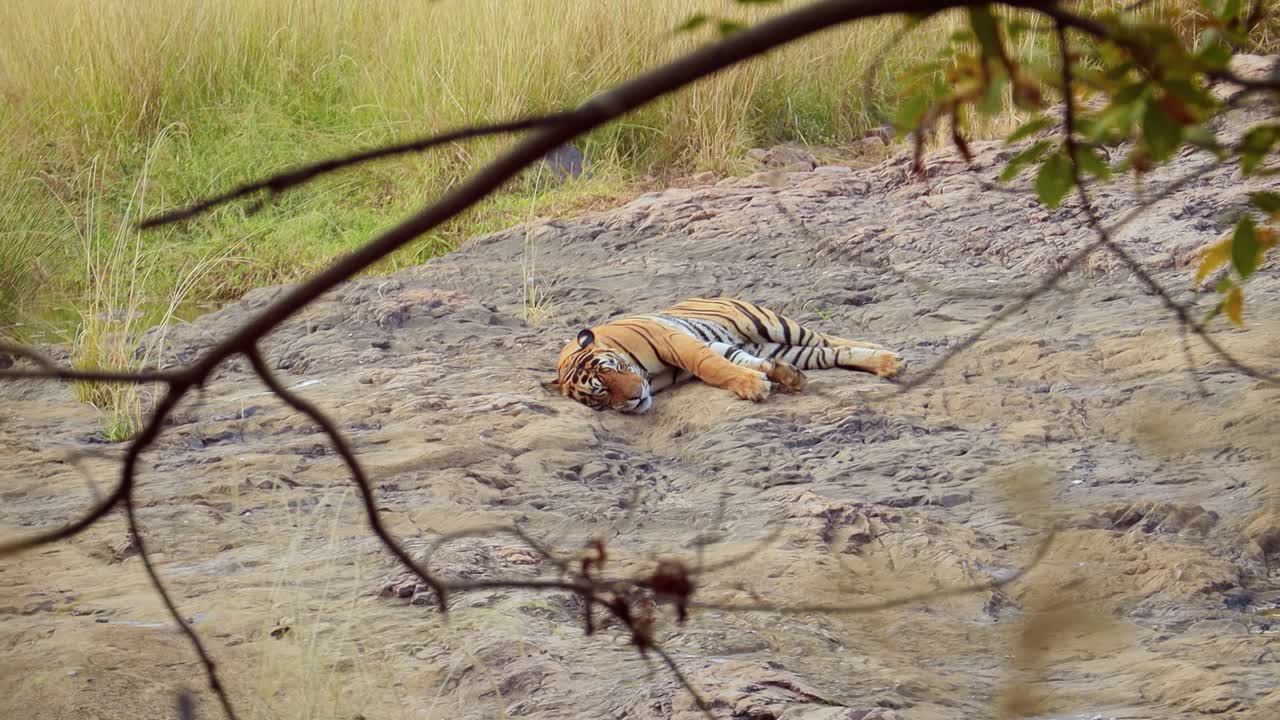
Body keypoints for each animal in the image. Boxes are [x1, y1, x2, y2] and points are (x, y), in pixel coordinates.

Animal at [543, 297, 901, 413]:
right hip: (772, 345)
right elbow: (735, 365)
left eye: (615, 367)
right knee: (827, 353)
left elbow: (713, 368)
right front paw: (764, 379)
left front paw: (753, 387)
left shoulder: (677, 342)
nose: (635, 398)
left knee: (830, 338)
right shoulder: (712, 345)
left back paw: (889, 358)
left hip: (775, 326)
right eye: (600, 393)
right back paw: (791, 374)